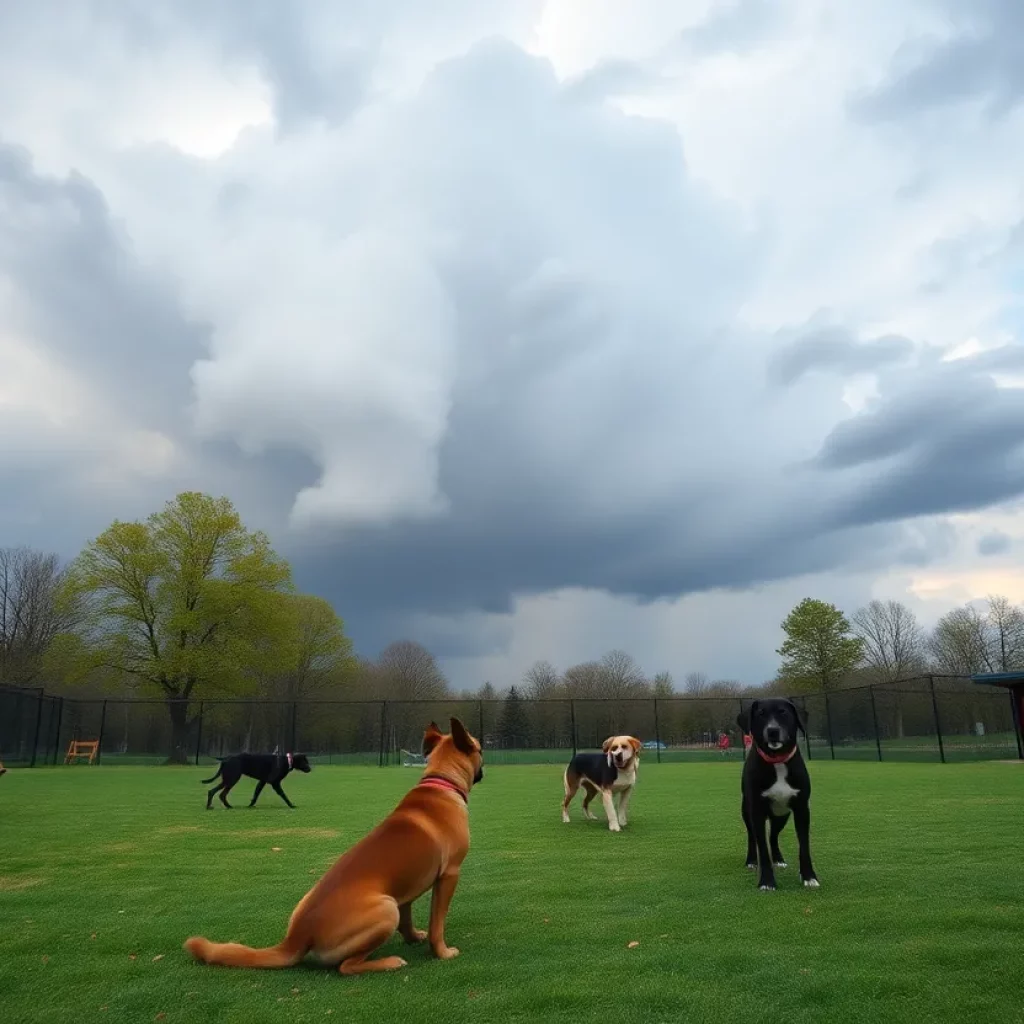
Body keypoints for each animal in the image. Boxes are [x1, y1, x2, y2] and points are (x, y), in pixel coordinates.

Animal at [183, 720, 483, 974]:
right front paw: (442, 952)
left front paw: (413, 937)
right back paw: (388, 962)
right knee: (347, 967)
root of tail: (298, 936)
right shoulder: (449, 876)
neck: (441, 782)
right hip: (386, 909)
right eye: (480, 748)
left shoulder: (406, 887)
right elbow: (437, 924)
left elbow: (408, 919)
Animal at [737, 700, 823, 892]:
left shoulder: (802, 809)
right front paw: (767, 882)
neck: (777, 761)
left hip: (781, 815)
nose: (772, 730)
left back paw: (778, 858)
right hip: (747, 811)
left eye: (783, 712)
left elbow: (804, 846)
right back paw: (752, 860)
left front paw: (809, 877)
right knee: (752, 836)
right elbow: (762, 846)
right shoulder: (757, 811)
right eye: (761, 713)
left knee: (773, 836)